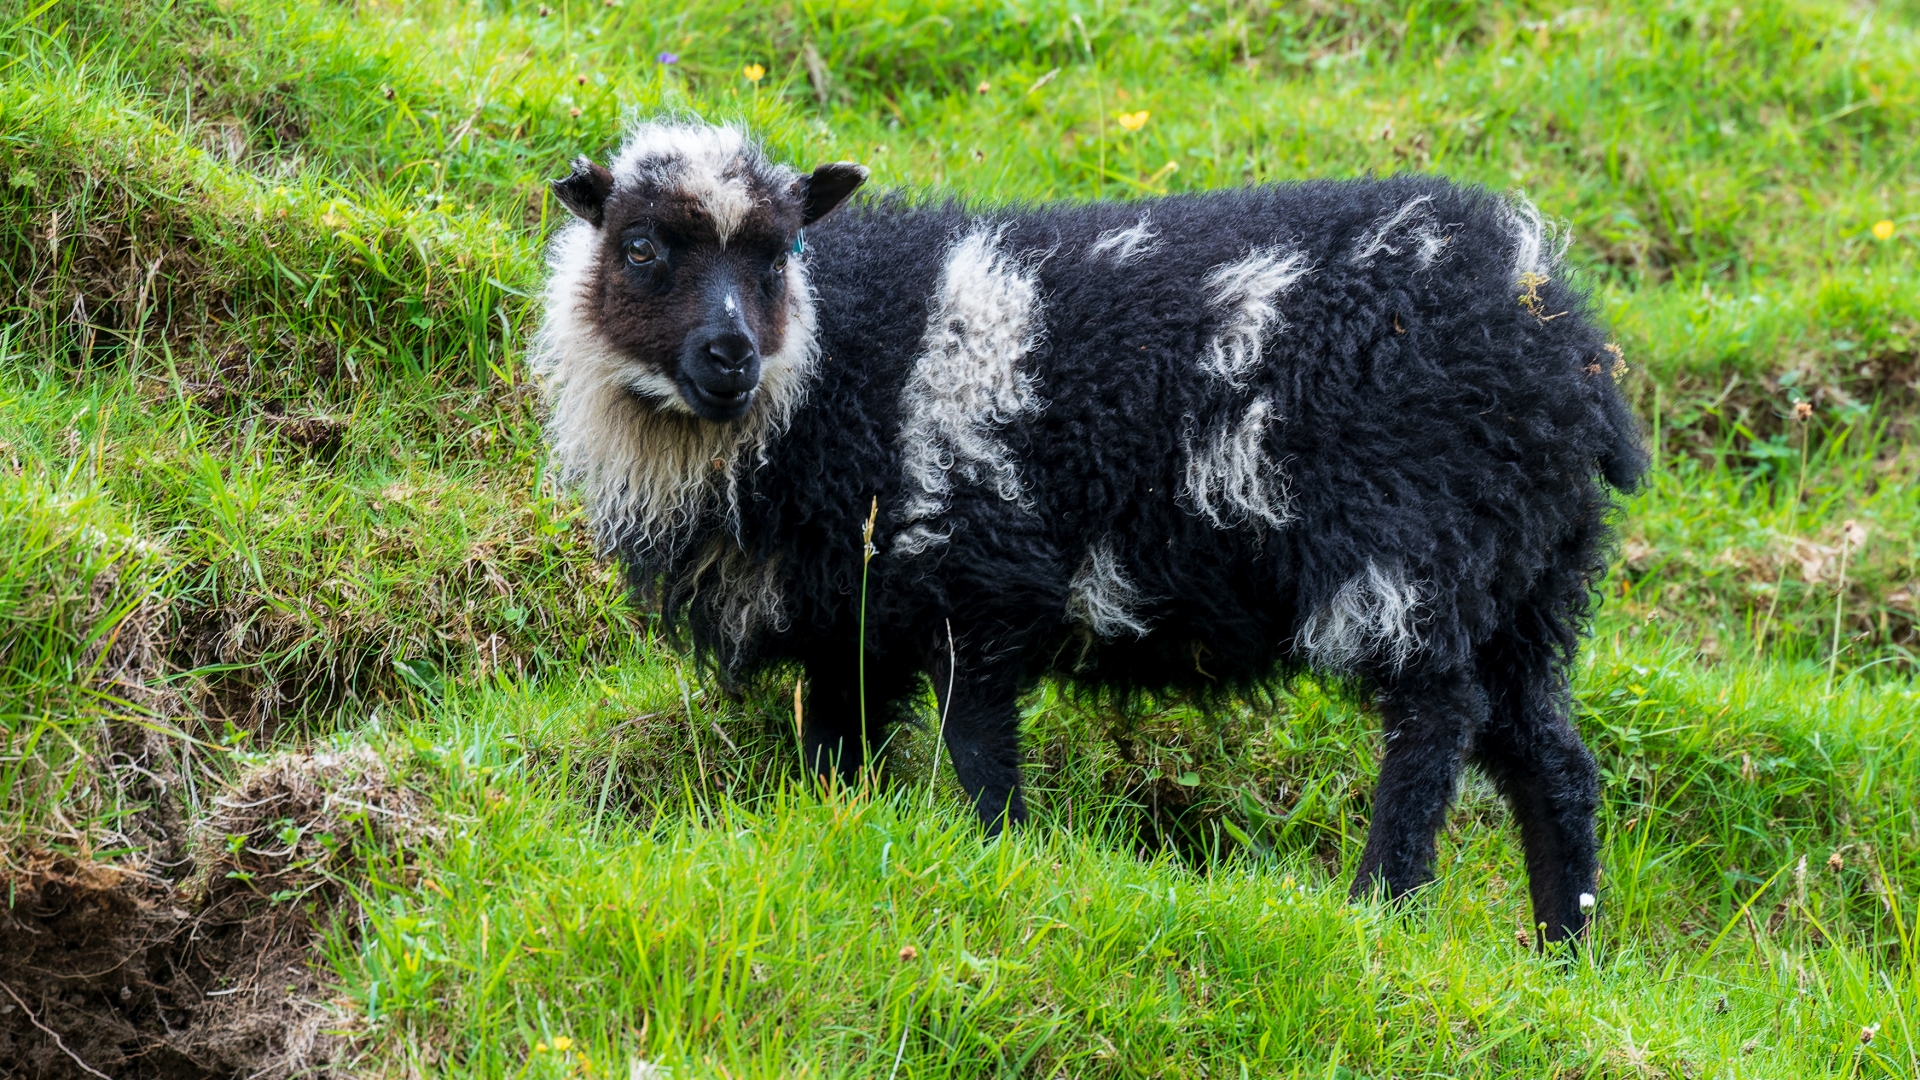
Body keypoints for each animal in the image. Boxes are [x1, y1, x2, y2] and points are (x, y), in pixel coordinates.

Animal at [533, 122, 1643, 937]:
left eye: (779, 254)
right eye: (640, 248)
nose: (729, 356)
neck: (840, 362)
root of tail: (1566, 345)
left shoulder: (977, 584)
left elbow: (978, 751)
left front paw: (1000, 860)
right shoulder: (854, 621)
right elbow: (835, 751)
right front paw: (829, 836)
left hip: (1407, 544)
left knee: (1435, 718)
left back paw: (1383, 904)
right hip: (1527, 581)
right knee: (1552, 763)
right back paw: (1564, 953)